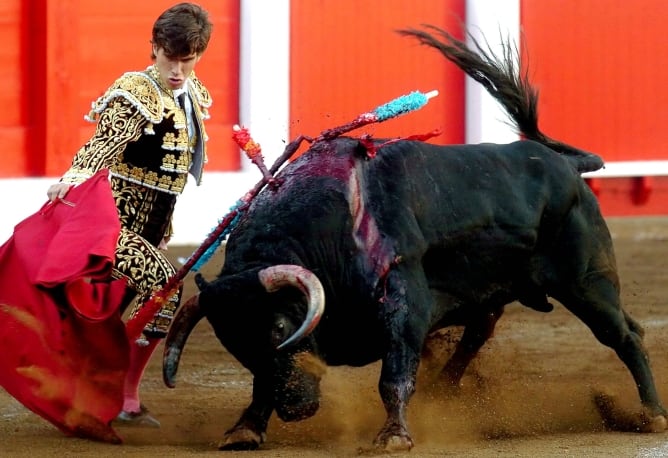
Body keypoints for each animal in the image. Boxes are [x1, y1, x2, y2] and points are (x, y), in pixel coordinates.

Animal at [163, 26, 668, 450]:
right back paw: (443, 391)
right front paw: (245, 428)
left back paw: (652, 415)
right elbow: (264, 385)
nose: (296, 410)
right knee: (482, 330)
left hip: (586, 281)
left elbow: (395, 374)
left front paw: (393, 437)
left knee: (624, 334)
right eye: (235, 345)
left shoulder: (404, 302)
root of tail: (565, 165)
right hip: (508, 288)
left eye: (280, 328)